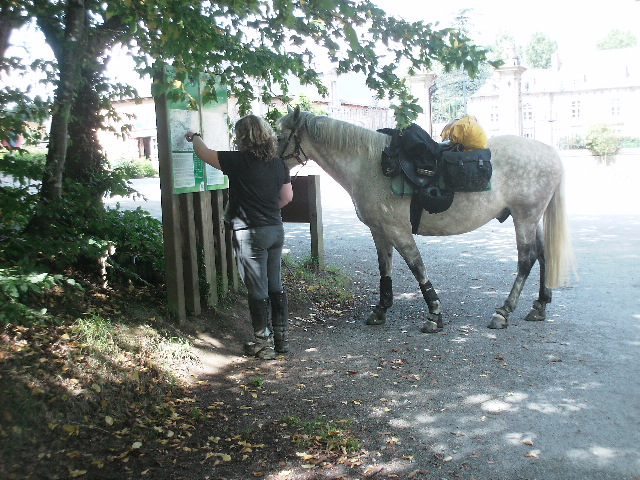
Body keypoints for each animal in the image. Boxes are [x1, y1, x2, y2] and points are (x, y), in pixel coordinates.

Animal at [278, 107, 576, 334]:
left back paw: (503, 312)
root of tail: (550, 152)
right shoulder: (380, 231)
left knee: (527, 260)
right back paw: (539, 306)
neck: (370, 164)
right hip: (531, 218)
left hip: (525, 217)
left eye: (281, 136)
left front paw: (434, 314)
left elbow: (417, 266)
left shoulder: (398, 230)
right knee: (542, 255)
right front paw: (381, 310)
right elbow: (385, 269)